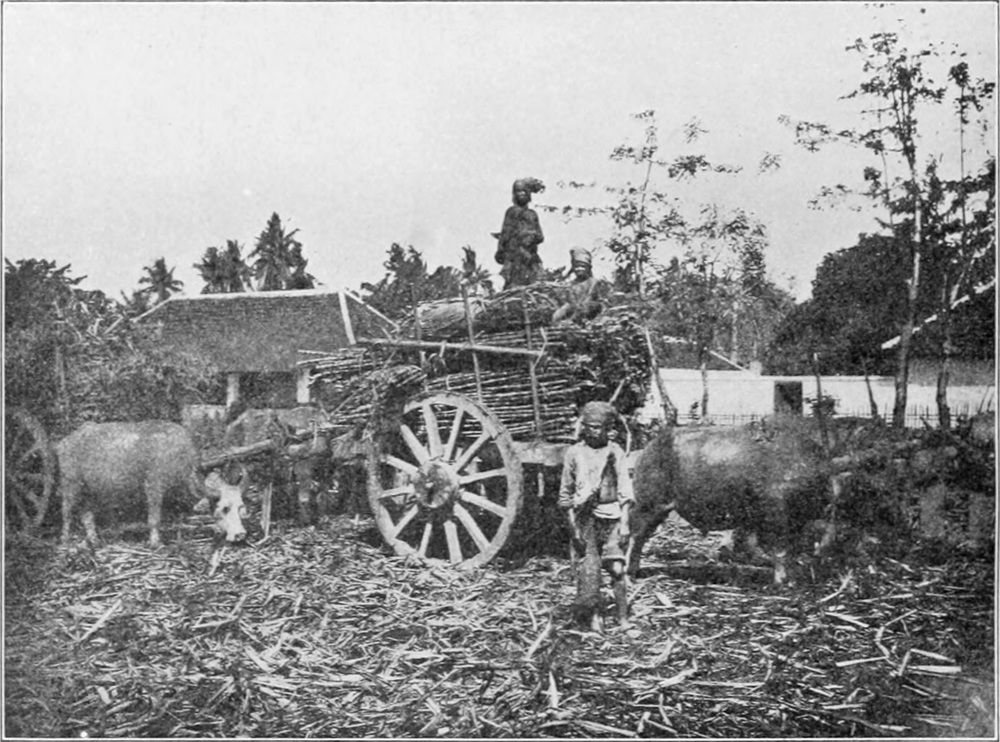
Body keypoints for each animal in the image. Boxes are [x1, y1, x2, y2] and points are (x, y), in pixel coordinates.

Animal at [58, 421, 248, 548]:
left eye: (240, 507)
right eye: (225, 508)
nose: (240, 534)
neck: (179, 457)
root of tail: (65, 441)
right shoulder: (154, 487)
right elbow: (154, 519)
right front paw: (155, 543)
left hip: (90, 490)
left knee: (86, 513)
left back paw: (94, 540)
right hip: (70, 485)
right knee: (66, 513)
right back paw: (65, 541)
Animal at [629, 418, 845, 583]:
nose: (829, 503)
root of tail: (650, 448)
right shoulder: (776, 518)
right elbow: (780, 550)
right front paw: (781, 580)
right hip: (650, 506)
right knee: (635, 536)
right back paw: (630, 573)